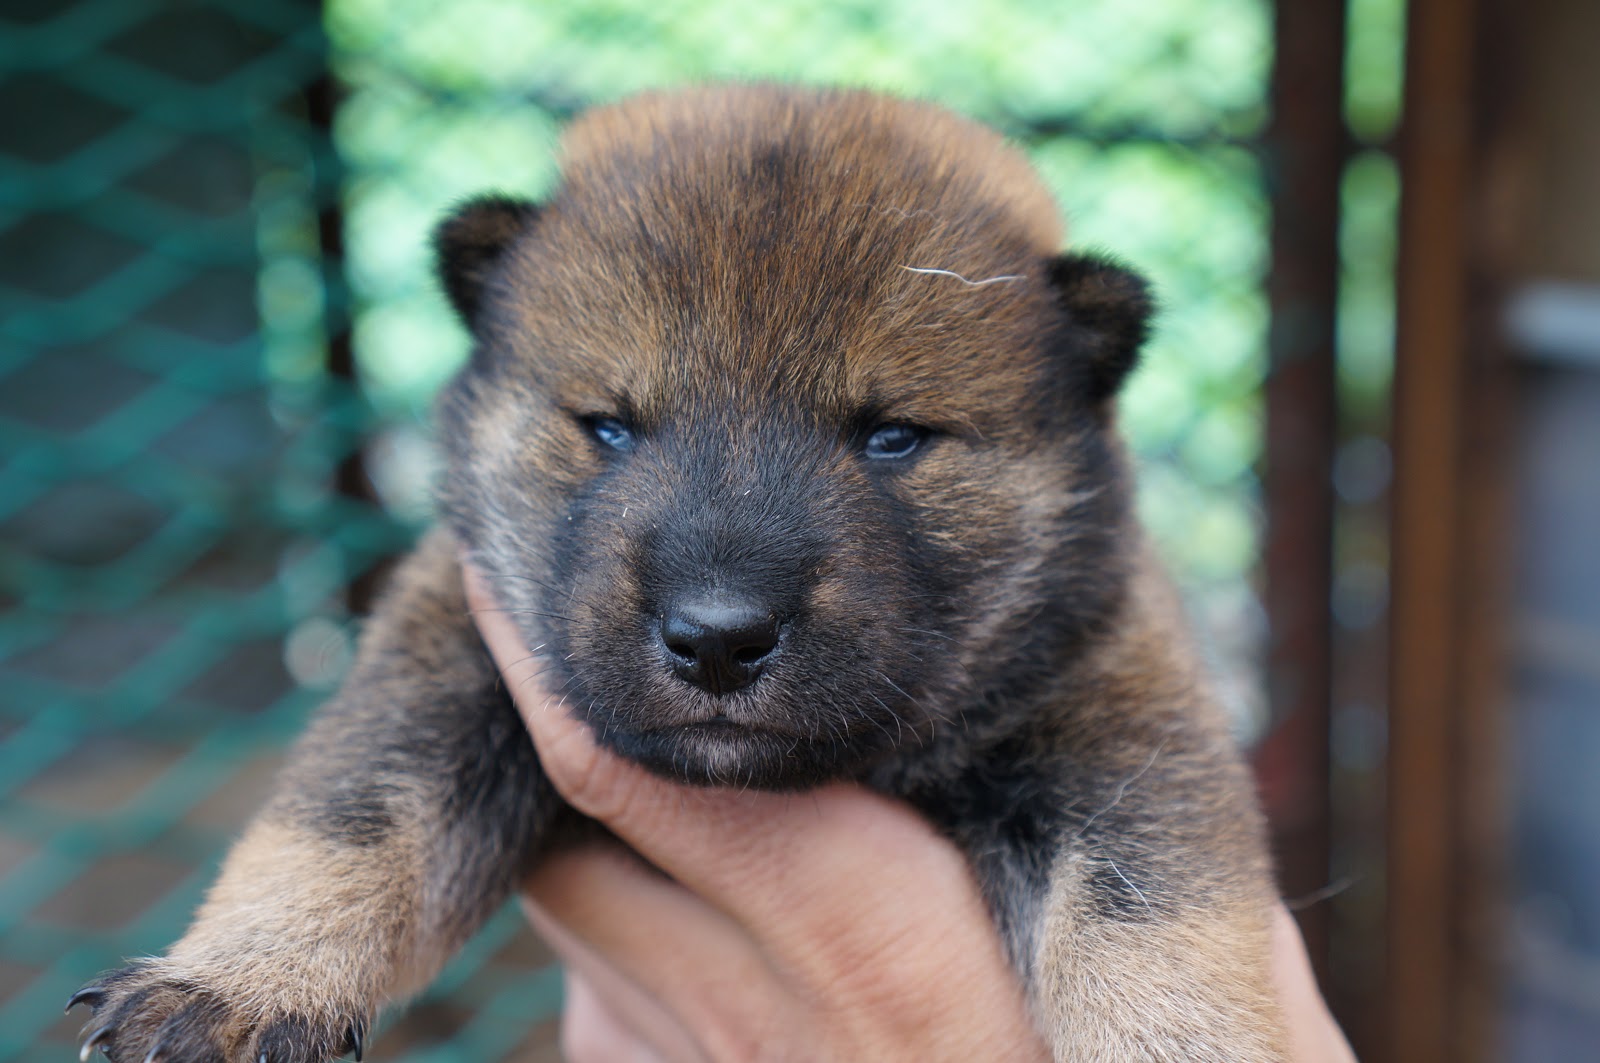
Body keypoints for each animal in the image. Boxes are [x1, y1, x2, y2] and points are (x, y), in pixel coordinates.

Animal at [68, 89, 1286, 1063]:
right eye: (608, 426)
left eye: (894, 437)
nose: (717, 637)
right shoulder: (451, 646)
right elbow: (351, 812)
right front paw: (242, 980)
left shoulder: (1119, 717)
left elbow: (1149, 912)